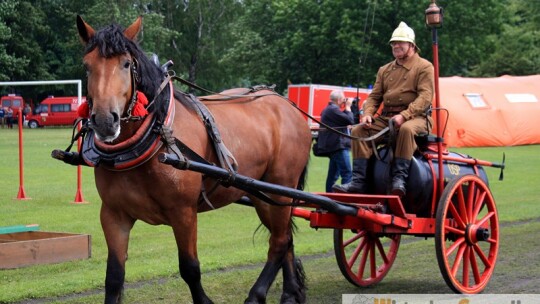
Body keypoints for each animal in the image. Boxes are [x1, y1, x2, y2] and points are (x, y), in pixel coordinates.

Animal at [76, 16, 312, 304]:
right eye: (87, 66)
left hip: (280, 188)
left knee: (278, 241)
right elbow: (113, 277)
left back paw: (257, 295)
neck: (157, 136)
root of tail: (287, 105)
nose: (104, 121)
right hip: (264, 194)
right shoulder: (114, 214)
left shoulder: (184, 212)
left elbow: (189, 268)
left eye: (126, 63)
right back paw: (290, 292)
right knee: (285, 236)